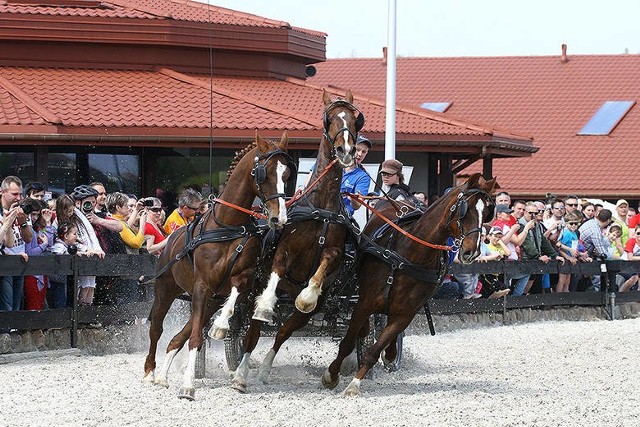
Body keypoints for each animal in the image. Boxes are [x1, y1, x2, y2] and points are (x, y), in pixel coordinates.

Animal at [142, 132, 296, 400]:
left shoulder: (236, 280)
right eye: (264, 173)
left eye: (286, 174)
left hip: (208, 301)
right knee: (157, 329)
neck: (227, 226)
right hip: (165, 291)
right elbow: (195, 339)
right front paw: (188, 386)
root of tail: (171, 239)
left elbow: (234, 295)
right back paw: (151, 372)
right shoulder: (202, 286)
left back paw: (163, 375)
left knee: (179, 336)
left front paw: (221, 326)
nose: (279, 218)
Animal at [232, 88, 364, 392]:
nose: (346, 150)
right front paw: (267, 305)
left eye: (355, 119)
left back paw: (264, 370)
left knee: (283, 330)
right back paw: (241, 373)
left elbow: (321, 271)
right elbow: (277, 272)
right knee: (252, 333)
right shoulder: (285, 250)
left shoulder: (334, 251)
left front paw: (307, 295)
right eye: (329, 118)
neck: (321, 206)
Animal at [322, 174, 498, 398]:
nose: (471, 252)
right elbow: (347, 342)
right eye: (465, 209)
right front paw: (331, 375)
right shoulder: (365, 302)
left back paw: (390, 353)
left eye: (488, 212)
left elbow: (374, 351)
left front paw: (354, 385)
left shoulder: (405, 314)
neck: (410, 255)